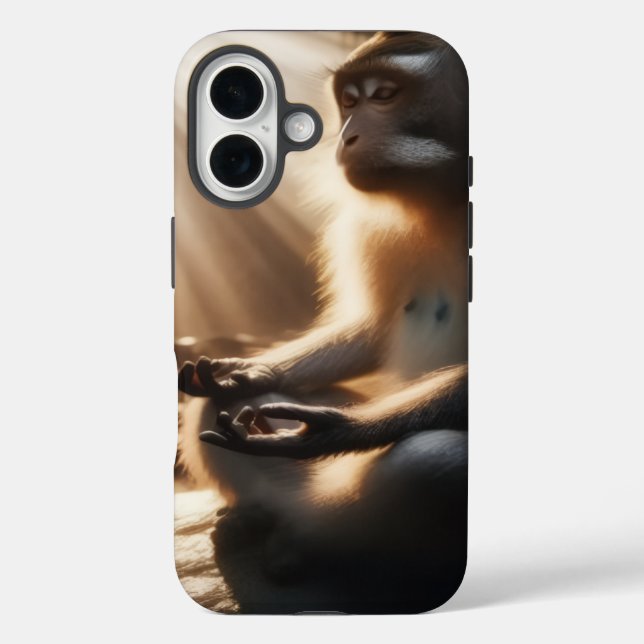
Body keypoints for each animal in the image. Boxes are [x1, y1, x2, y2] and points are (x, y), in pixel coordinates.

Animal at [177, 32, 469, 610]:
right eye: (350, 100)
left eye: (385, 95)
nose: (348, 137)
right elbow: (375, 328)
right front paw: (246, 375)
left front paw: (334, 431)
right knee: (208, 407)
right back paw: (259, 519)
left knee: (434, 462)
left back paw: (310, 551)